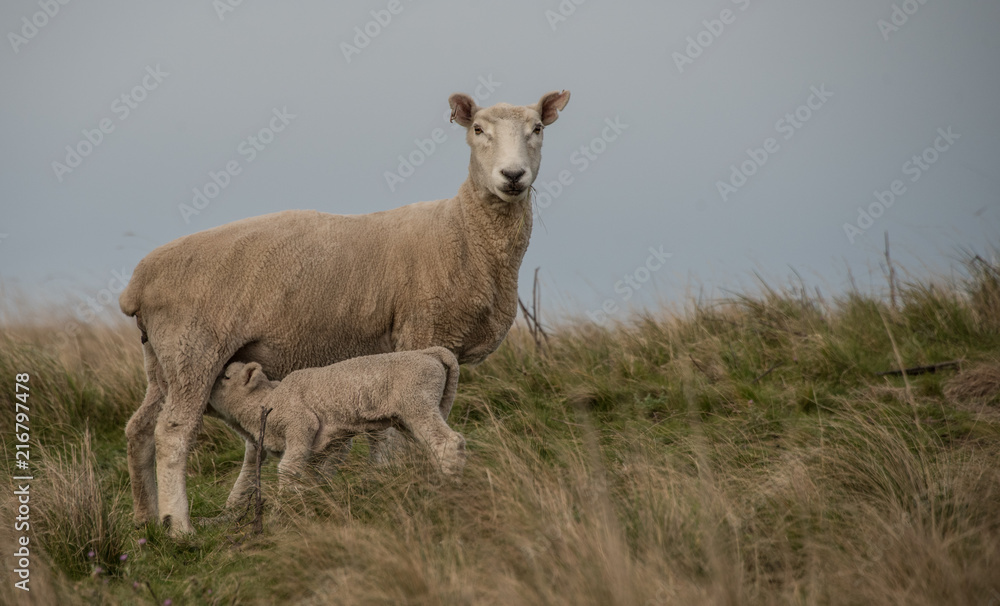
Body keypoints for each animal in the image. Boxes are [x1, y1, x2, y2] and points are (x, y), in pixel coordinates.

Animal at [207, 347, 465, 509]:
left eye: (227, 377)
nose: (207, 394)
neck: (266, 401)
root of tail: (429, 352)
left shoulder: (301, 422)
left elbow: (288, 468)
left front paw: (286, 505)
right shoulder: (329, 444)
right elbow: (314, 475)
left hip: (416, 403)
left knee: (447, 441)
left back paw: (450, 486)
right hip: (414, 413)